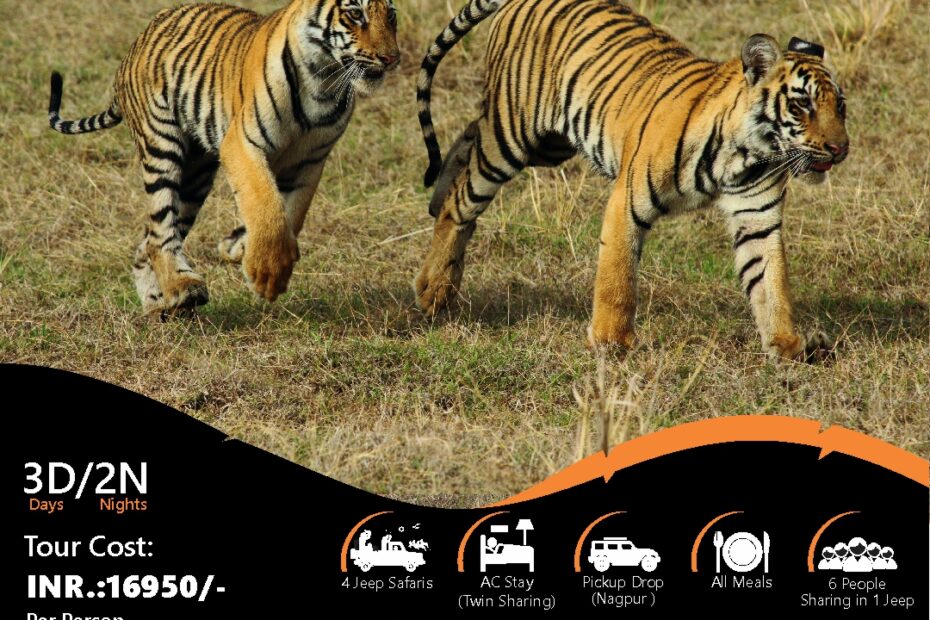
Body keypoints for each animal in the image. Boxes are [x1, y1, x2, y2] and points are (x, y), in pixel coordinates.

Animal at [48, 0, 399, 315]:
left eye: (391, 15)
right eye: (355, 14)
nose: (392, 58)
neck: (324, 81)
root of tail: (134, 46)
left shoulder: (310, 161)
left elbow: (292, 214)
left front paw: (238, 246)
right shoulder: (243, 143)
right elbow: (266, 205)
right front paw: (266, 274)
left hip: (196, 175)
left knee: (148, 241)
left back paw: (159, 302)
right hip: (162, 145)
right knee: (160, 230)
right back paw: (183, 288)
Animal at [414, 0, 849, 362]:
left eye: (840, 106)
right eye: (802, 105)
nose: (840, 148)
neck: (748, 154)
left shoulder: (756, 216)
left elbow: (771, 282)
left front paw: (789, 346)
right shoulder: (626, 201)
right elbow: (617, 278)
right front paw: (611, 344)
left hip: (549, 144)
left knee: (468, 137)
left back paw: (435, 199)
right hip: (512, 134)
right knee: (462, 200)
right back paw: (433, 287)